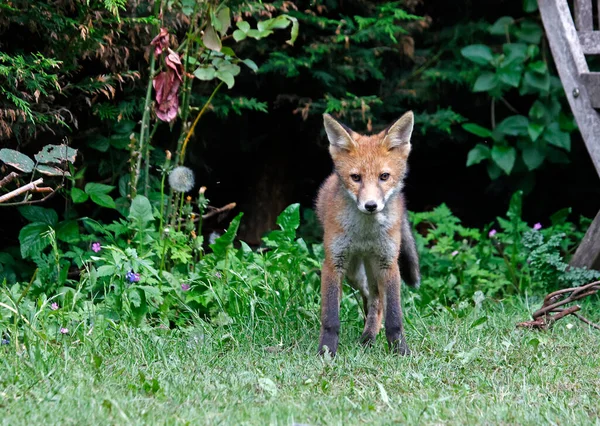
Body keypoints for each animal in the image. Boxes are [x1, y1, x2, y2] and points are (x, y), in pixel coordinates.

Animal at [316, 112, 420, 356]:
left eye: (384, 176)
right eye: (356, 178)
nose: (371, 206)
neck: (365, 235)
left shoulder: (389, 263)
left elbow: (394, 316)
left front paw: (400, 351)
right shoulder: (333, 263)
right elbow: (331, 317)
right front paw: (326, 351)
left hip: (373, 268)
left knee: (377, 301)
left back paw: (369, 337)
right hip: (355, 273)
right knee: (369, 297)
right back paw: (367, 336)